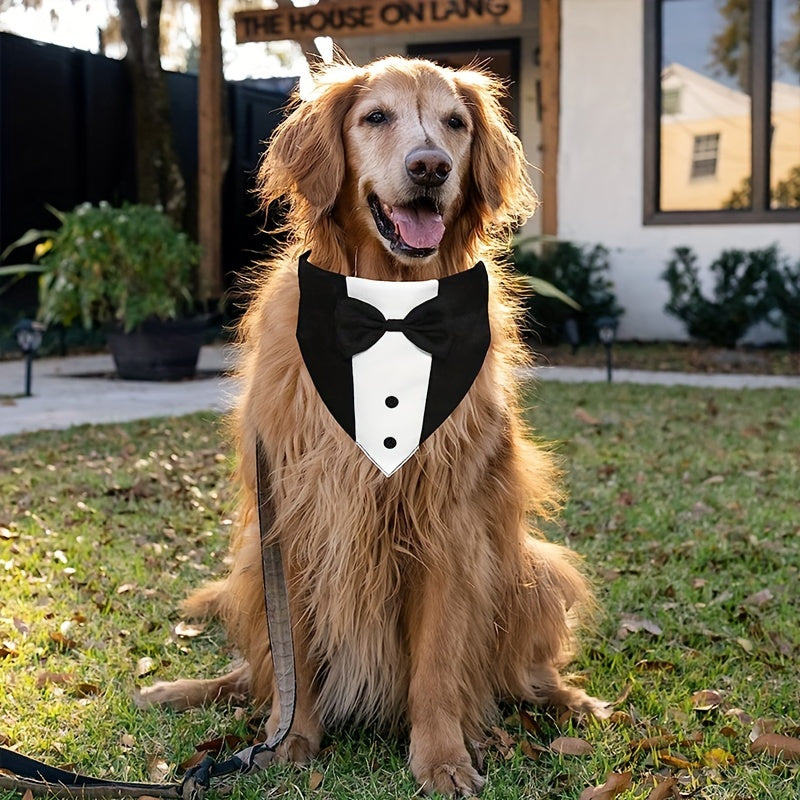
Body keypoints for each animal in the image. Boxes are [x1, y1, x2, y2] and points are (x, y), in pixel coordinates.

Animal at [142, 56, 608, 792]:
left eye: (455, 123)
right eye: (376, 117)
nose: (430, 167)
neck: (389, 307)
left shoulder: (448, 525)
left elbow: (439, 666)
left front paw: (442, 758)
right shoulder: (297, 520)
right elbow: (295, 661)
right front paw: (292, 745)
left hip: (532, 568)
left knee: (521, 672)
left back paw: (565, 700)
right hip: (251, 573)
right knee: (255, 675)